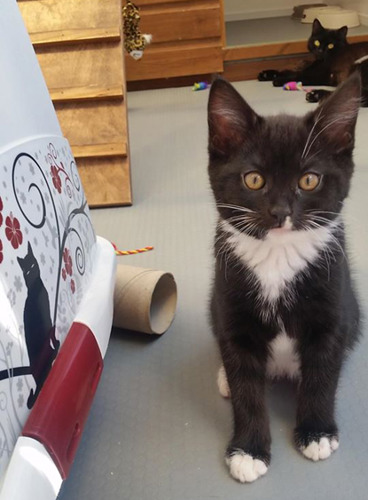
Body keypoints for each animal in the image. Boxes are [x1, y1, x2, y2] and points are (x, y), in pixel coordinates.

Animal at [0, 242, 59, 410]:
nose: (31, 271)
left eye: (32, 264)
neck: (35, 286)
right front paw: (55, 338)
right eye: (26, 270)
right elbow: (51, 329)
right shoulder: (47, 317)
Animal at [208, 72, 360, 482]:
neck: (278, 258)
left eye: (308, 181)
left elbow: (322, 374)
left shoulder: (331, 309)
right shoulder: (232, 307)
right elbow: (246, 386)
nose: (280, 212)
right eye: (253, 179)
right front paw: (248, 450)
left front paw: (316, 431)